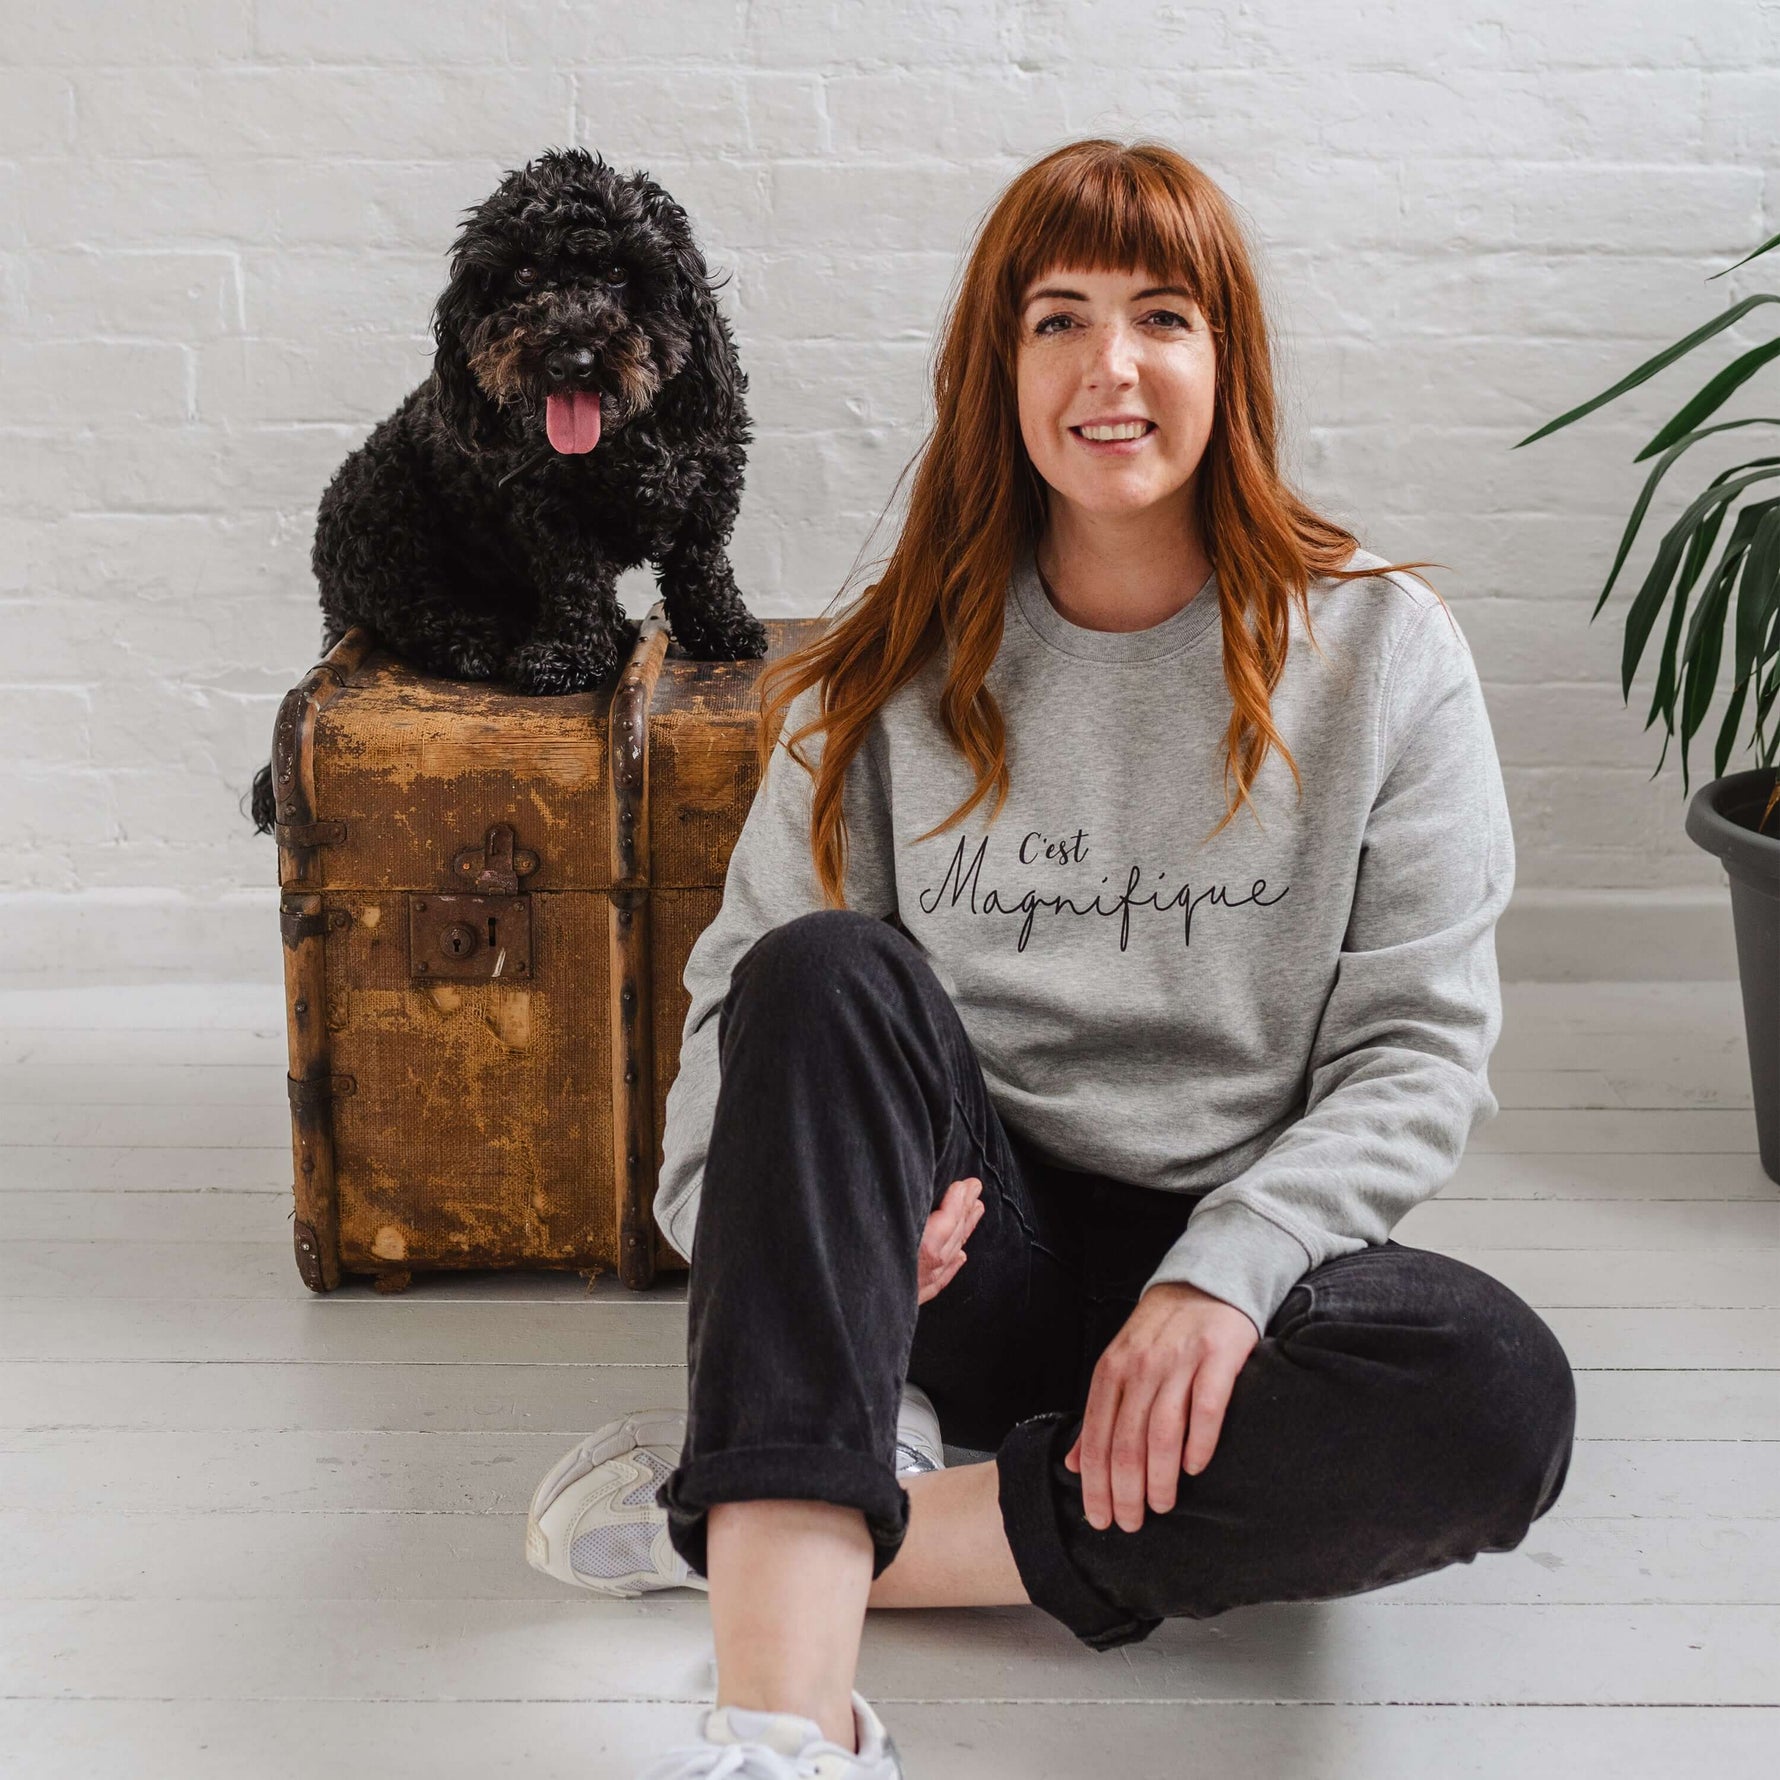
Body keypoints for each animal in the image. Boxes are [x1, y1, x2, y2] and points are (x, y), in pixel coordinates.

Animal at [249, 147, 765, 833]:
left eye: (619, 273)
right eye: (523, 273)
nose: (571, 359)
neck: (616, 445)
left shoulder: (709, 481)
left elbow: (700, 562)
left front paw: (722, 631)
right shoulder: (550, 515)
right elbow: (574, 582)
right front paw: (569, 658)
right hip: (381, 503)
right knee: (404, 607)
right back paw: (477, 640)